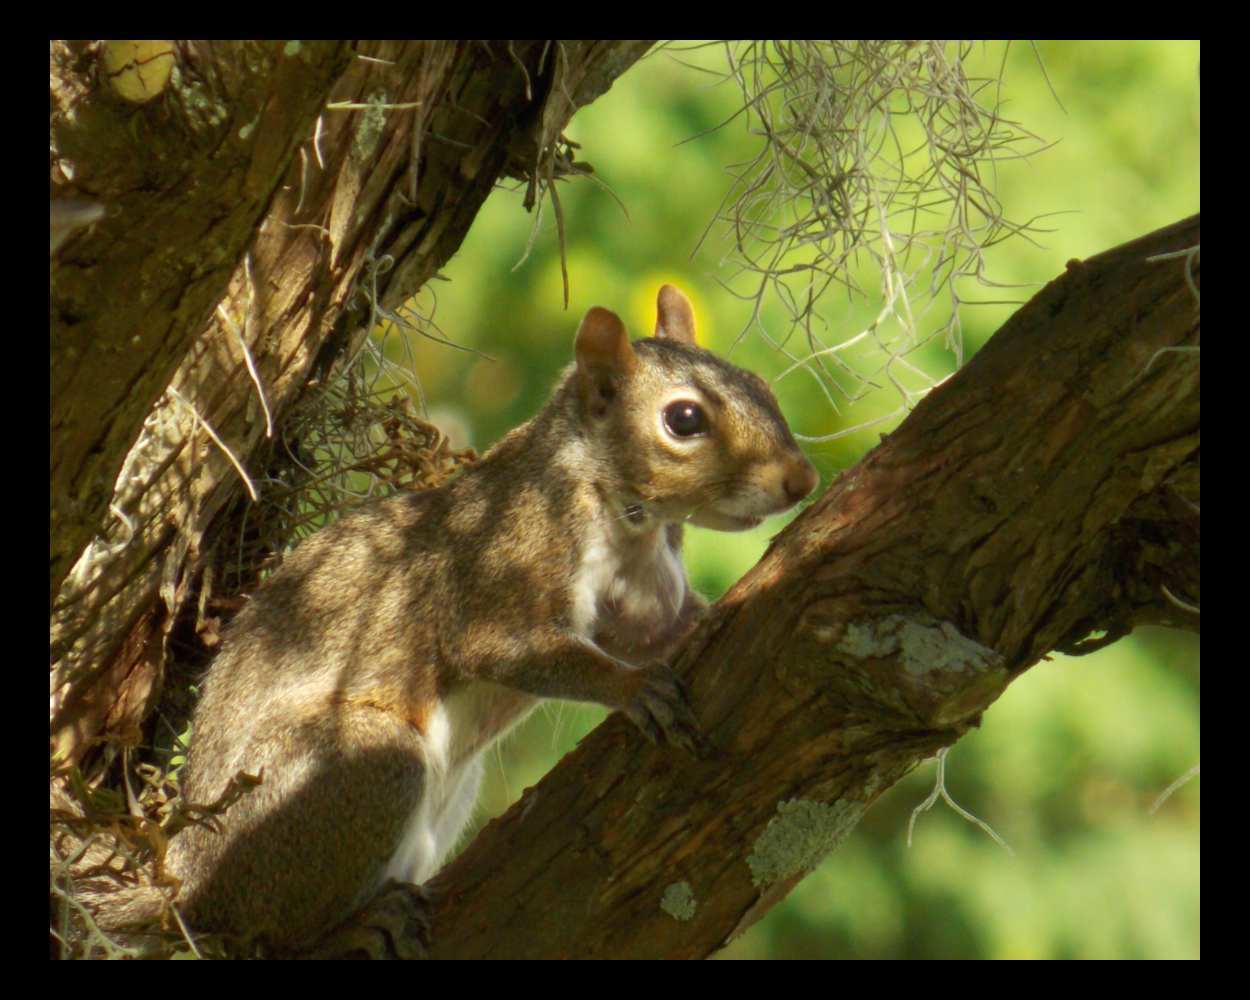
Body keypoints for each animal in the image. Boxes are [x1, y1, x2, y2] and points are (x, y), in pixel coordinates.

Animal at [90, 284, 818, 953]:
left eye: (759, 385)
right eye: (685, 419)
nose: (802, 480)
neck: (626, 518)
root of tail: (184, 880)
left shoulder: (637, 603)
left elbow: (652, 632)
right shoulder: (504, 564)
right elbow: (509, 649)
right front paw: (632, 688)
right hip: (357, 771)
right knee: (266, 930)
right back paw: (357, 924)